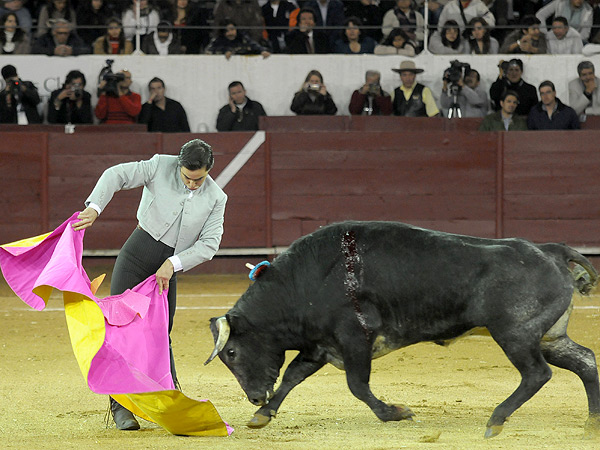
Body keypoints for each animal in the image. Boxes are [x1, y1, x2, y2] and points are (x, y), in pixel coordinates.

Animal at [206, 221, 600, 440]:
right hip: (548, 336)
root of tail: (550, 250)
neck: (301, 283)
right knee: (585, 361)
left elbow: (357, 385)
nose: (254, 397)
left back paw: (496, 420)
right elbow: (292, 376)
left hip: (515, 333)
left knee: (537, 374)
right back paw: (592, 423)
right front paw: (262, 416)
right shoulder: (321, 345)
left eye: (232, 352)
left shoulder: (354, 338)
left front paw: (396, 413)